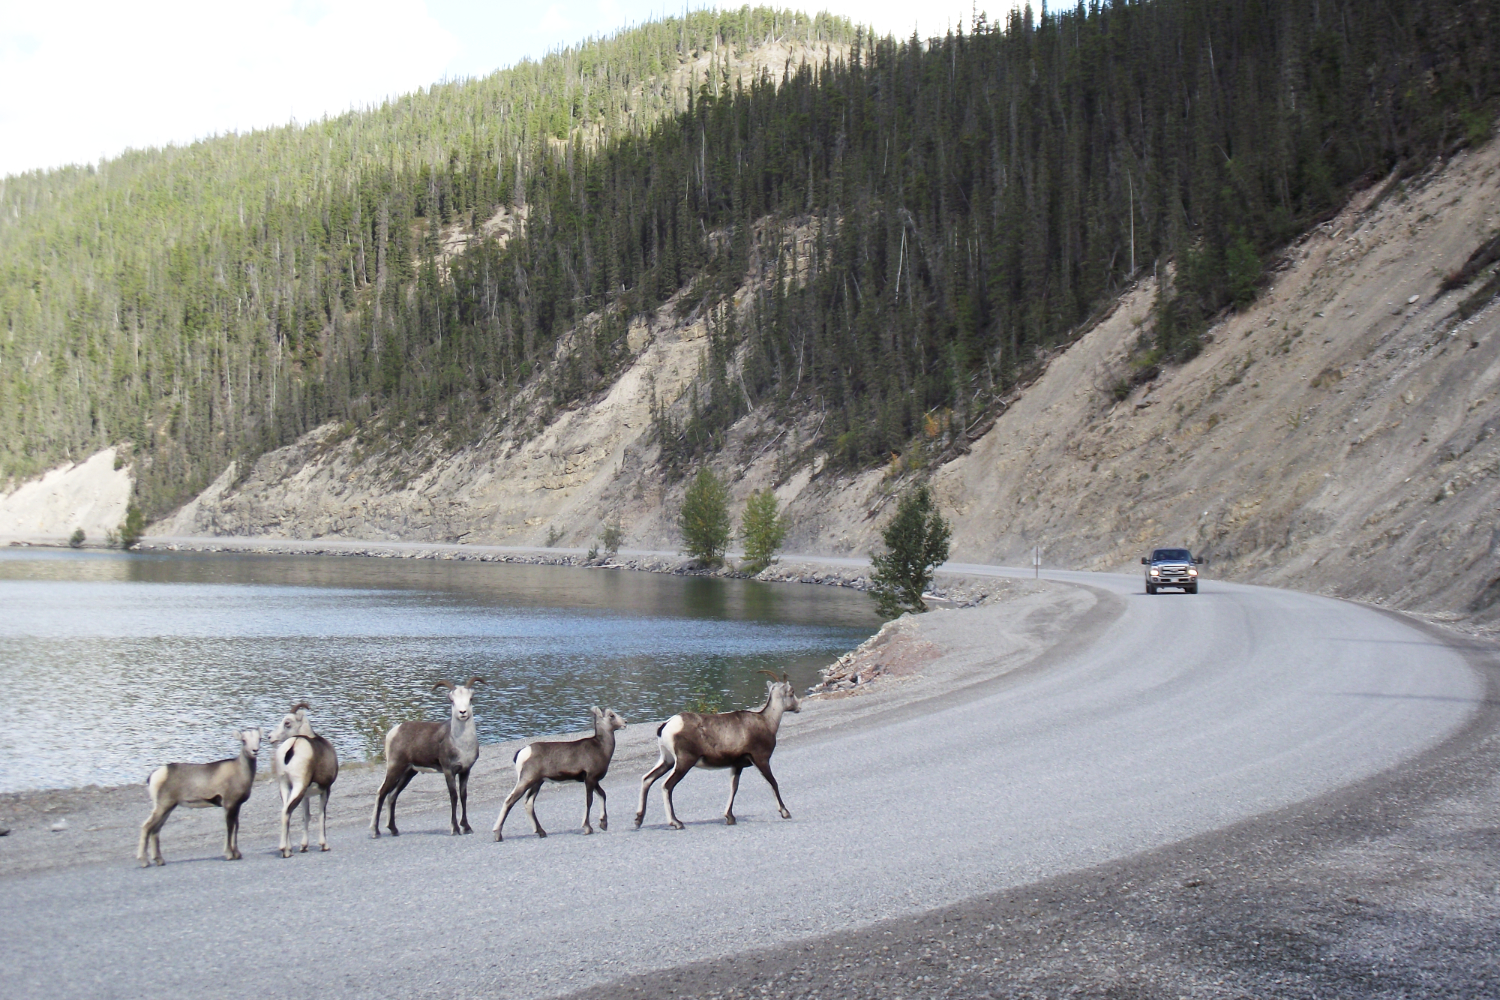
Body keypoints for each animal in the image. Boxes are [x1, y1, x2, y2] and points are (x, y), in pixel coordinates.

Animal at [137, 728, 262, 867]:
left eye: (259, 739)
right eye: (244, 740)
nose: (255, 750)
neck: (240, 771)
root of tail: (154, 776)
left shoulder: (237, 806)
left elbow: (236, 826)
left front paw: (237, 854)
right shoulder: (229, 804)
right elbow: (229, 827)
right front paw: (229, 855)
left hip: (168, 808)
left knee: (156, 830)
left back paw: (159, 860)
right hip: (163, 806)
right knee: (147, 827)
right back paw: (144, 861)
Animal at [266, 702, 340, 857]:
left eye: (287, 722)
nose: (270, 737)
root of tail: (293, 744)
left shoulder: (306, 795)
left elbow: (306, 816)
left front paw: (304, 846)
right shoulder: (325, 789)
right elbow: (321, 814)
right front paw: (324, 845)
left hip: (285, 787)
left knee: (286, 811)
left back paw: (288, 849)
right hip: (298, 786)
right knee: (286, 812)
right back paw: (284, 850)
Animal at [371, 677, 485, 837]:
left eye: (471, 698)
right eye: (452, 700)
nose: (462, 712)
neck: (462, 744)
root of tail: (393, 732)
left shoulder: (465, 771)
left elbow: (463, 796)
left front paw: (467, 827)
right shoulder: (449, 771)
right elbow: (454, 796)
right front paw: (455, 829)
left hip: (409, 772)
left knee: (392, 795)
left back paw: (394, 829)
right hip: (395, 768)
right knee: (381, 792)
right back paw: (376, 832)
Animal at [492, 707, 626, 841]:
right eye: (611, 715)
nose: (625, 723)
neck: (601, 748)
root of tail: (522, 752)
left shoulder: (593, 780)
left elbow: (603, 795)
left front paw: (603, 824)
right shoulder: (590, 779)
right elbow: (589, 801)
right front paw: (588, 828)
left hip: (537, 782)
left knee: (528, 803)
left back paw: (541, 832)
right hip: (527, 780)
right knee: (510, 801)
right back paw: (498, 835)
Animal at [634, 674, 801, 830]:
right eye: (792, 691)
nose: (799, 706)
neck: (767, 722)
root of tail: (666, 725)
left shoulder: (737, 765)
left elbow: (734, 787)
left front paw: (730, 817)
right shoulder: (761, 760)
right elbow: (773, 782)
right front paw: (785, 813)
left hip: (667, 760)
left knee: (647, 779)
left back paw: (638, 820)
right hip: (684, 762)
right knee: (666, 786)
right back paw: (676, 823)